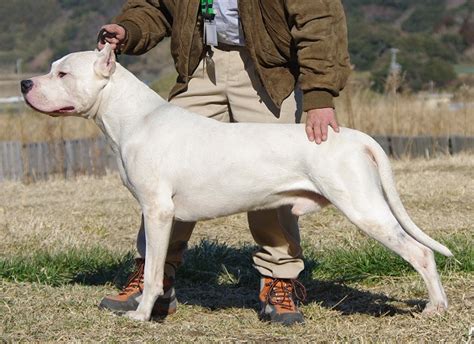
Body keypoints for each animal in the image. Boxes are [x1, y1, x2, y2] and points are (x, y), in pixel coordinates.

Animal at [21, 44, 452, 322]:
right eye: (52, 68)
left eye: (62, 73)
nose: (25, 83)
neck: (133, 118)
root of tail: (354, 135)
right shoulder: (163, 215)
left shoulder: (158, 211)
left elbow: (155, 271)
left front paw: (142, 315)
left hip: (365, 209)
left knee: (420, 253)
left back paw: (435, 307)